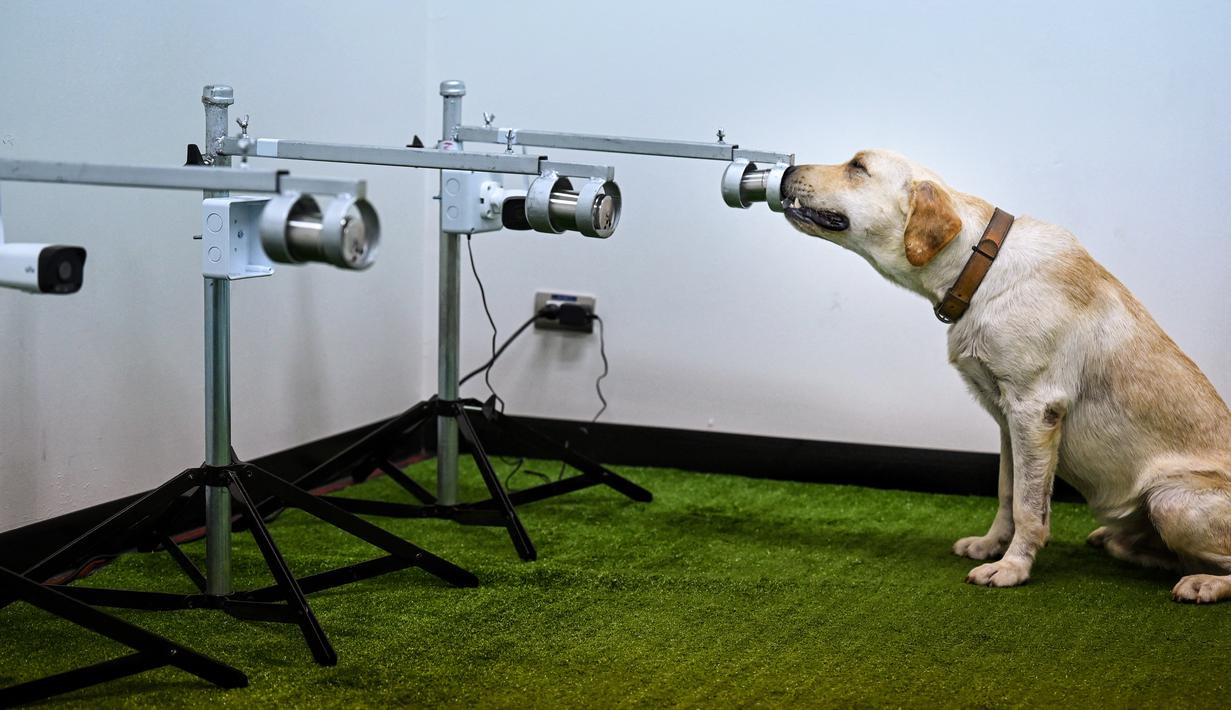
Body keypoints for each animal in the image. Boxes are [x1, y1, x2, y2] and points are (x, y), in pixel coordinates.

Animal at [782, 150, 1231, 602]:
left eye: (857, 166)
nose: (787, 170)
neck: (981, 266)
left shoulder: (1035, 410)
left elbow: (1028, 508)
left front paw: (1012, 568)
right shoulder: (1006, 419)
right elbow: (1007, 492)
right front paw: (990, 546)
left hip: (1170, 500)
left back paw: (1203, 582)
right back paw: (1119, 542)